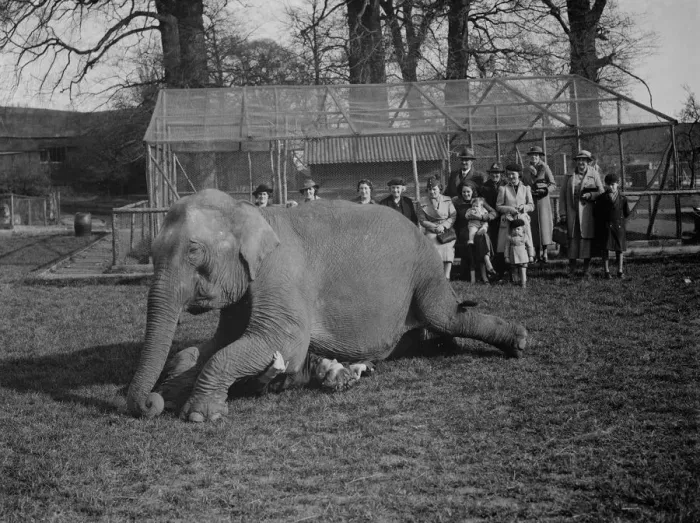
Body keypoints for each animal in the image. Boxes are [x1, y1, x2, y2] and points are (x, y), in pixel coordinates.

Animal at [127, 189, 527, 422]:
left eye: (194, 252)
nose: (148, 403)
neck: (253, 214)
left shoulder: (281, 274)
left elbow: (283, 343)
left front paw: (198, 415)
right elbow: (212, 345)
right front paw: (174, 390)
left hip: (424, 270)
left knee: (444, 315)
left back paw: (519, 342)